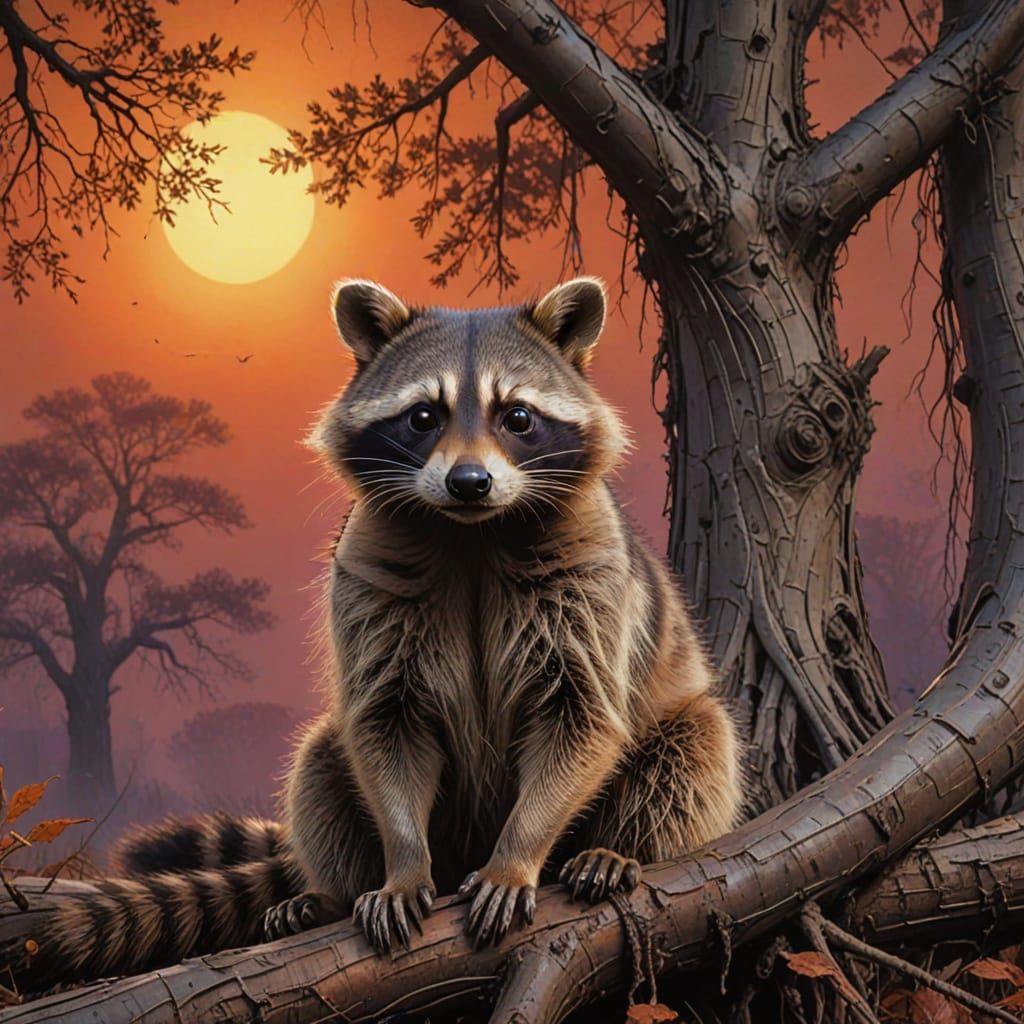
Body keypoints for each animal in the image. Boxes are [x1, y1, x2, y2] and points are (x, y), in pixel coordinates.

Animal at [2, 278, 741, 990]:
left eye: (518, 417)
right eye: (423, 416)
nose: (469, 482)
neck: (472, 533)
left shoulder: (592, 576)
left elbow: (581, 715)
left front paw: (517, 854)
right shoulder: (367, 574)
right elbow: (386, 720)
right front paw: (403, 865)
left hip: (669, 716)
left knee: (695, 745)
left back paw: (622, 848)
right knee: (323, 756)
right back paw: (328, 893)